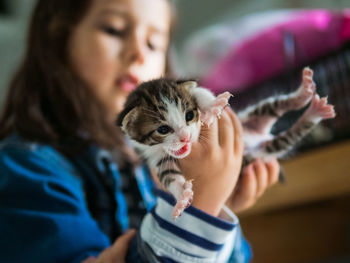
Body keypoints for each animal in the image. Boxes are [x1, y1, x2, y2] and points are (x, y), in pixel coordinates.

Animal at [118, 67, 336, 221]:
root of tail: (261, 135)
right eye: (163, 130)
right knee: (290, 135)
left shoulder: (197, 93)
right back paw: (314, 111)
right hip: (266, 149)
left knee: (277, 106)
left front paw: (212, 106)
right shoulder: (156, 158)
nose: (186, 138)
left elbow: (201, 93)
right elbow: (169, 177)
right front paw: (181, 198)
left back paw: (304, 93)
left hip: (251, 114)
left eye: (189, 115)